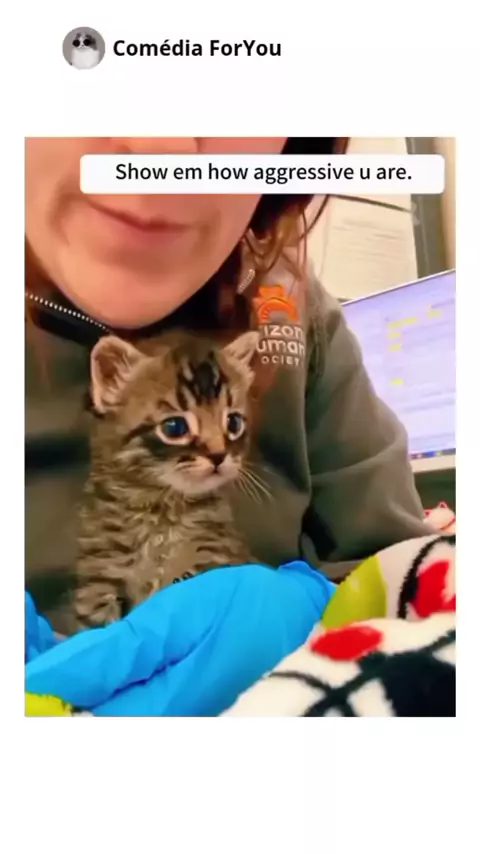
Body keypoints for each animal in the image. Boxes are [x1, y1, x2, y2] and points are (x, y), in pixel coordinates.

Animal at [73, 329, 260, 629]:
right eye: (174, 427)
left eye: (233, 423)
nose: (219, 455)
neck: (161, 510)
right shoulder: (99, 573)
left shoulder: (215, 553)